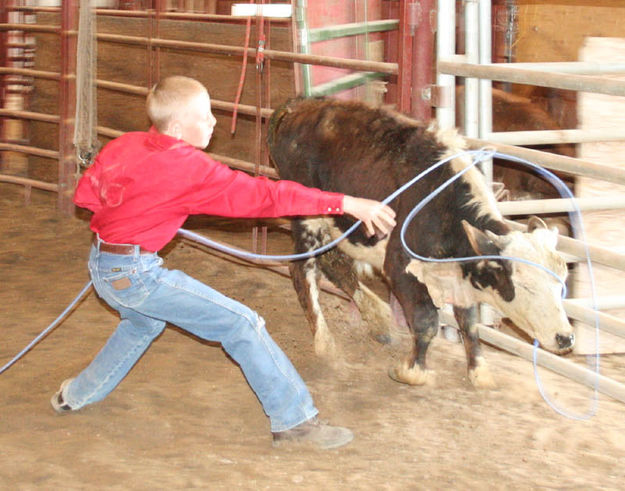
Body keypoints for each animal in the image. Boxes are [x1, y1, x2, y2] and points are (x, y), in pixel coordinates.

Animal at [266, 99, 572, 388]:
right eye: (526, 286)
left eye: (561, 284)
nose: (566, 338)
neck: (444, 204)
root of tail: (298, 107)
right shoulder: (398, 267)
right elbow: (426, 322)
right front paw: (411, 371)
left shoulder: (461, 273)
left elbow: (470, 324)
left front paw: (479, 371)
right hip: (308, 218)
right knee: (303, 271)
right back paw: (325, 342)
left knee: (335, 264)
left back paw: (379, 321)